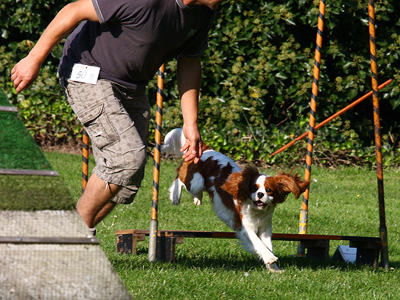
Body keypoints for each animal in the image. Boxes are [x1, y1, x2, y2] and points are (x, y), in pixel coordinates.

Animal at [162, 127, 310, 274]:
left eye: (269, 190)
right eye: (253, 188)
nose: (260, 194)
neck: (257, 212)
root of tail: (206, 149)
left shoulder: (265, 229)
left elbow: (268, 245)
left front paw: (274, 269)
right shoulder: (245, 228)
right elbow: (259, 244)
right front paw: (269, 258)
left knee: (193, 189)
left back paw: (197, 199)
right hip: (194, 182)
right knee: (180, 178)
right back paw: (175, 196)